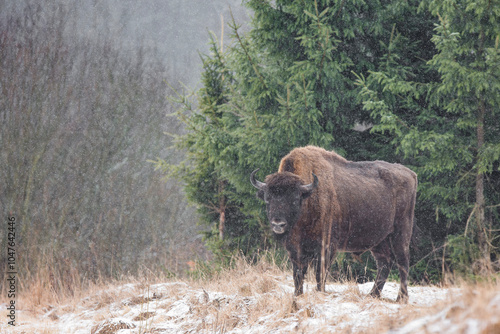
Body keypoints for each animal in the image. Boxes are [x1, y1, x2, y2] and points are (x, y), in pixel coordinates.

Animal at [250, 146, 418, 302]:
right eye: (268, 198)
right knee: (384, 264)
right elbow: (298, 274)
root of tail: (411, 174)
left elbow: (320, 274)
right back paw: (373, 295)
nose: (278, 224)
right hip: (379, 240)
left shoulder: (327, 247)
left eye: (294, 198)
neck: (308, 198)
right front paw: (297, 295)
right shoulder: (295, 249)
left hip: (401, 233)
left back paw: (401, 298)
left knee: (403, 263)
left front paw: (319, 293)